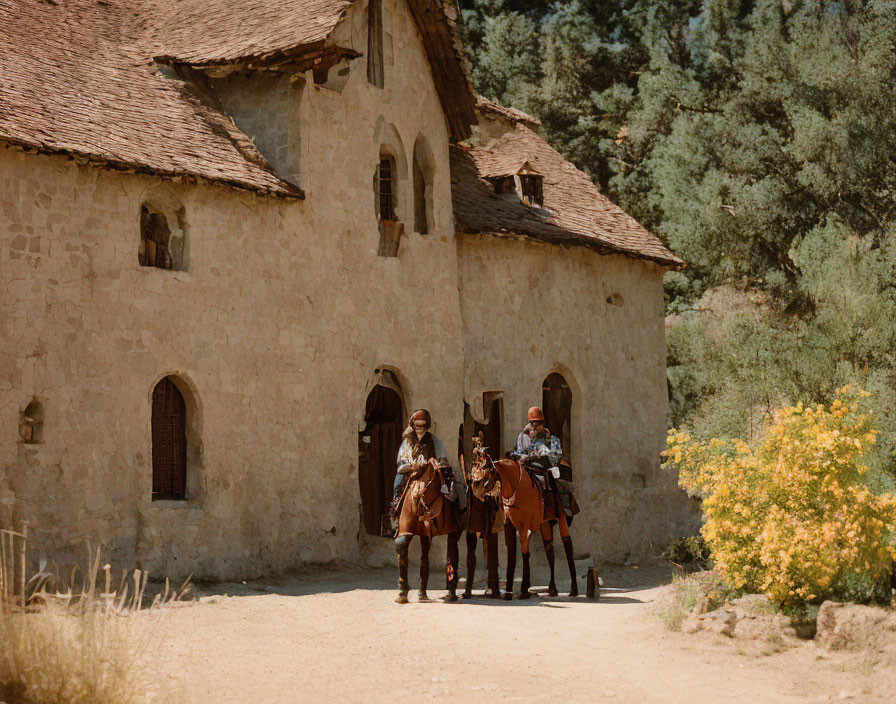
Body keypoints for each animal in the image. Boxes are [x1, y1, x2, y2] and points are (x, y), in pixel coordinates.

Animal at [468, 446, 580, 600]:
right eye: (476, 466)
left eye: (487, 466)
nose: (478, 487)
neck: (517, 487)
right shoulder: (510, 525)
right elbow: (512, 556)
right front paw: (509, 590)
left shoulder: (524, 526)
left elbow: (525, 554)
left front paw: (523, 590)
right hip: (545, 524)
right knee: (549, 550)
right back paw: (552, 588)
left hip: (562, 519)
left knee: (567, 546)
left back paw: (574, 589)